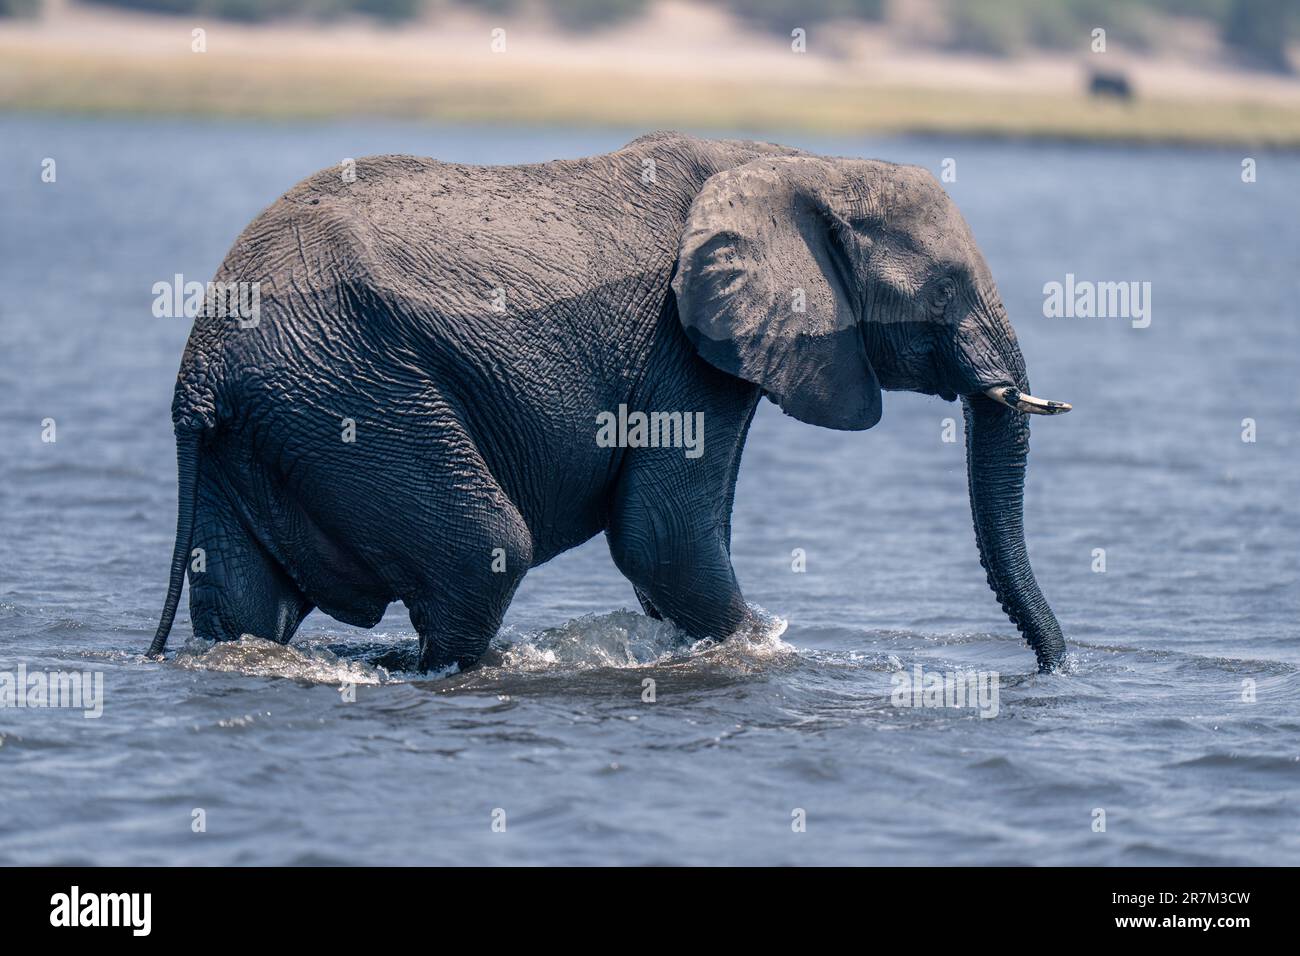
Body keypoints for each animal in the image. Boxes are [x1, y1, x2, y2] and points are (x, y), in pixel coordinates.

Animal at [149, 131, 1071, 673]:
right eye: (946, 288)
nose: (1046, 673)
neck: (801, 160)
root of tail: (201, 366)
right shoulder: (680, 341)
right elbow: (664, 538)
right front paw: (759, 656)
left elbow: (676, 540)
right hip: (351, 390)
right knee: (484, 551)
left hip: (275, 420)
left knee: (244, 601)